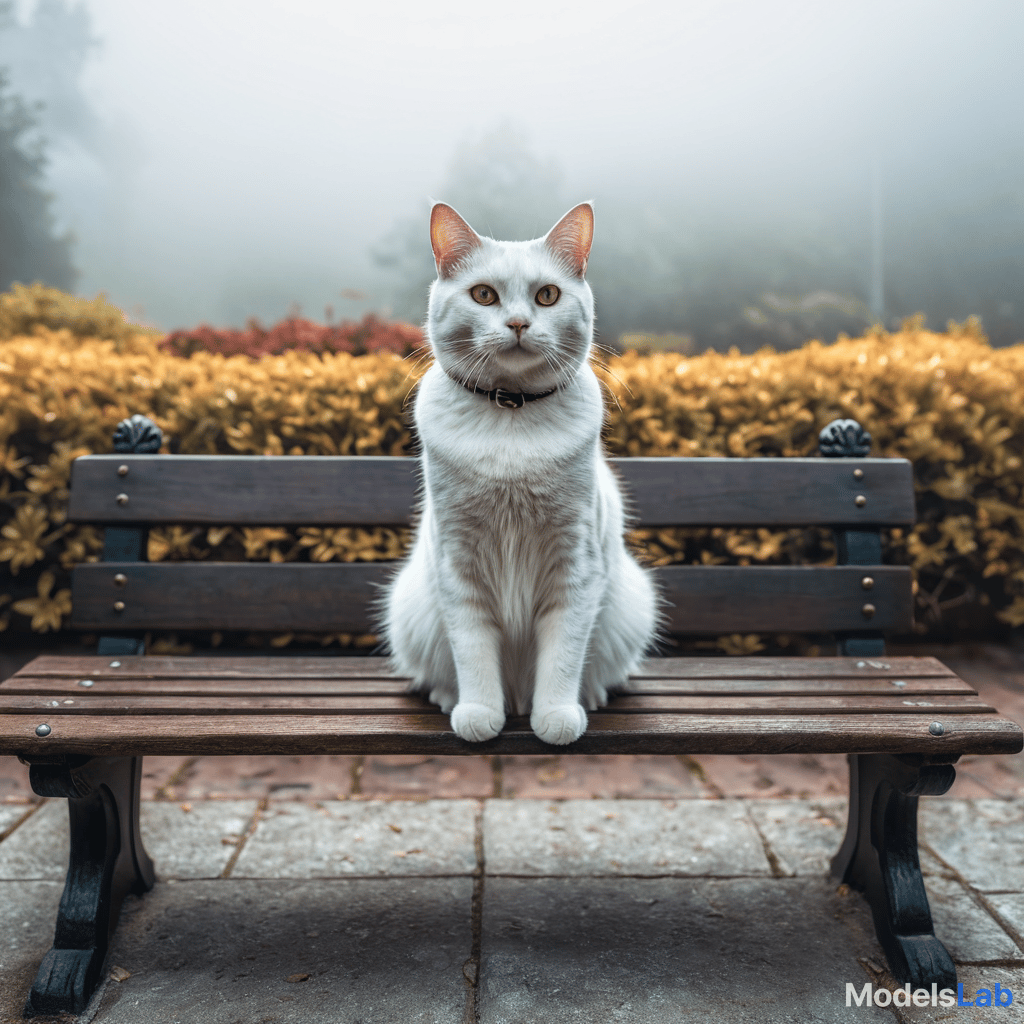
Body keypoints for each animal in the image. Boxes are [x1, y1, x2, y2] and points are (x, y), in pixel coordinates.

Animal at [380, 199, 659, 745]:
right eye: (483, 295)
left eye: (547, 295)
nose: (516, 323)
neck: (510, 413)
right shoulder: (459, 563)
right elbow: (472, 650)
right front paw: (478, 714)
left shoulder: (575, 565)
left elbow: (564, 654)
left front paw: (556, 716)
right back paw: (450, 698)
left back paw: (587, 697)